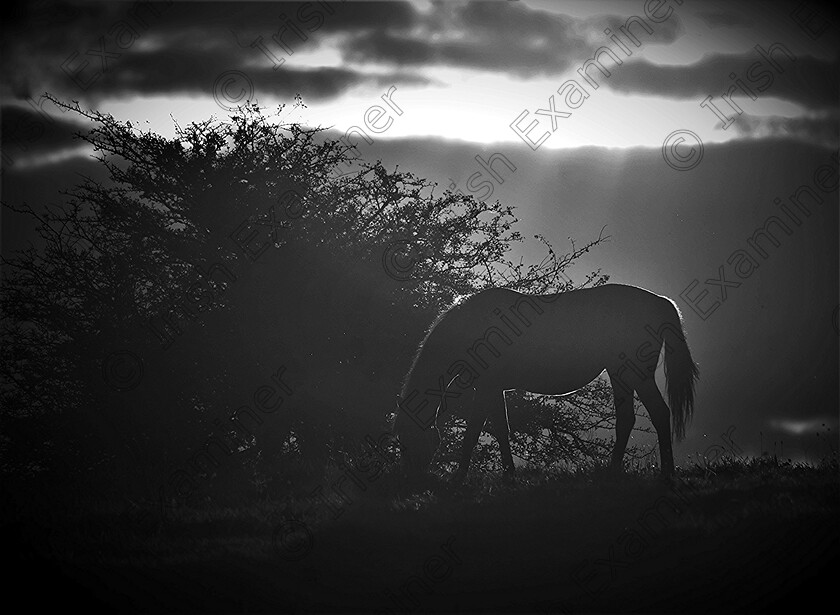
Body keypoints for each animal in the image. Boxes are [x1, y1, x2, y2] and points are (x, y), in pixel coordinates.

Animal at [398, 284, 700, 482]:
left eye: (407, 439)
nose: (411, 479)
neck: (472, 330)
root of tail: (660, 301)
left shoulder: (485, 389)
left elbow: (473, 432)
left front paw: (459, 477)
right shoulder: (492, 389)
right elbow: (501, 429)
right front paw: (509, 474)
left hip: (636, 374)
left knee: (659, 412)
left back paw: (666, 472)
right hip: (620, 373)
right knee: (626, 419)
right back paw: (613, 470)